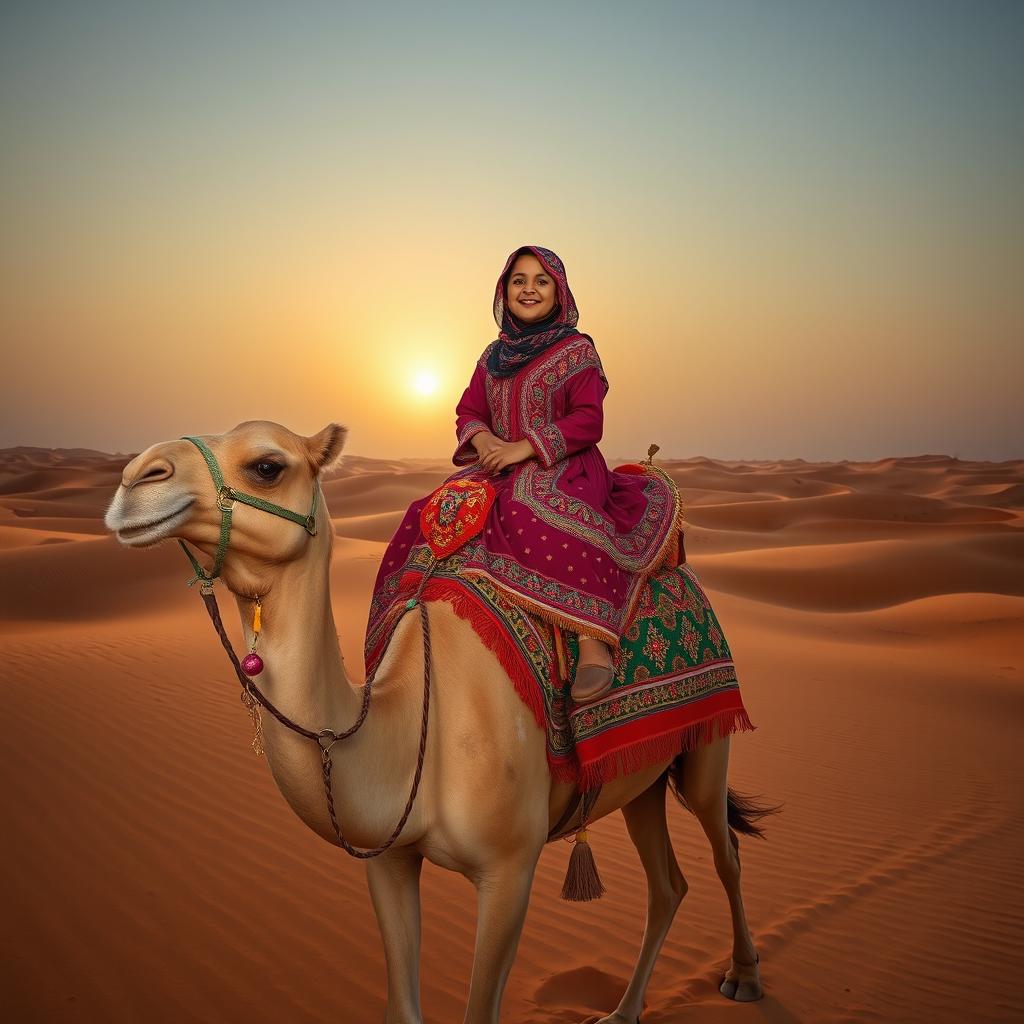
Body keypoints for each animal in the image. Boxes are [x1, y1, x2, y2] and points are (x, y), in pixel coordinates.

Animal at [105, 419, 774, 1019]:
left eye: (268, 466)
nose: (136, 479)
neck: (406, 730)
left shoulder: (510, 869)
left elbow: (480, 1008)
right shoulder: (388, 860)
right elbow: (402, 1004)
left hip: (706, 745)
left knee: (726, 851)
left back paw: (743, 978)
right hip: (640, 777)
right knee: (668, 885)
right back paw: (623, 1012)